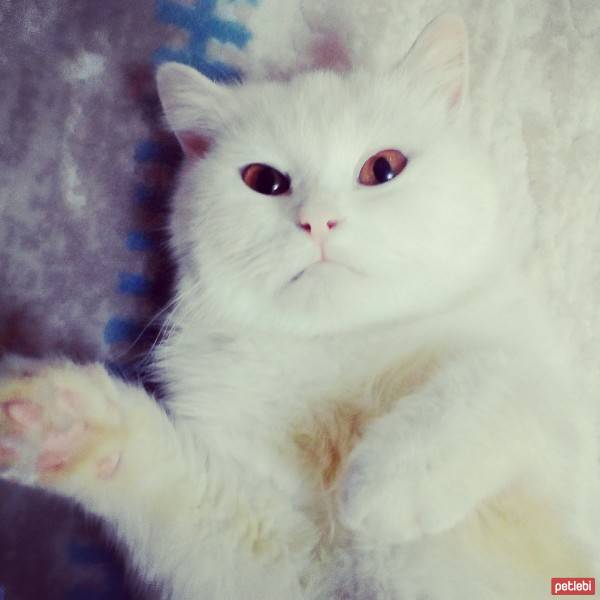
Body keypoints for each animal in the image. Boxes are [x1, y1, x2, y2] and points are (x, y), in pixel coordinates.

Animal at [1, 10, 600, 600]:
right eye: (263, 180)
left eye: (384, 167)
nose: (316, 220)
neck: (341, 350)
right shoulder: (285, 568)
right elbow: (186, 489)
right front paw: (60, 422)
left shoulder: (566, 453)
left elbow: (509, 377)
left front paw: (391, 480)